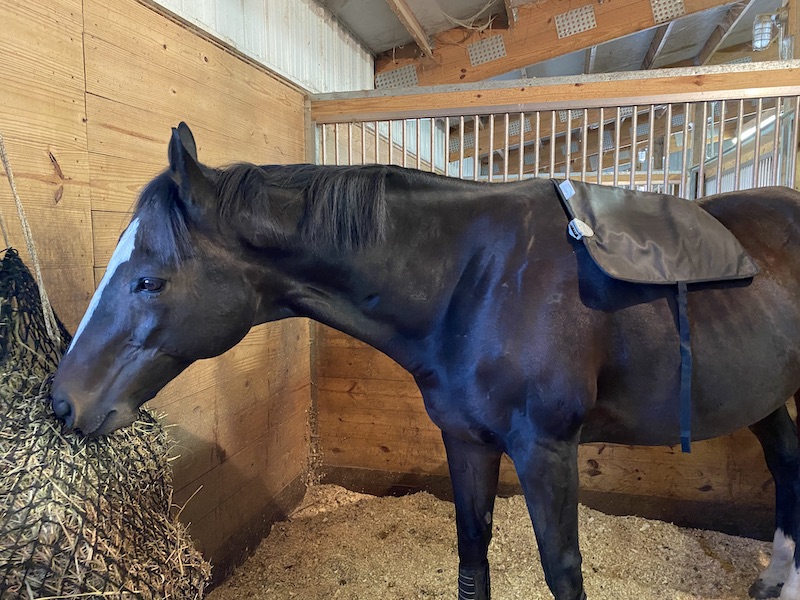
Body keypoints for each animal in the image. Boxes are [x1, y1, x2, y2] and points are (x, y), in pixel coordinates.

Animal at [51, 123, 800, 600]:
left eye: (149, 280)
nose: (63, 402)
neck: (476, 277)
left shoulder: (547, 449)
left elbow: (563, 572)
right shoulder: (467, 442)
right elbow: (472, 563)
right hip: (762, 395)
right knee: (787, 461)